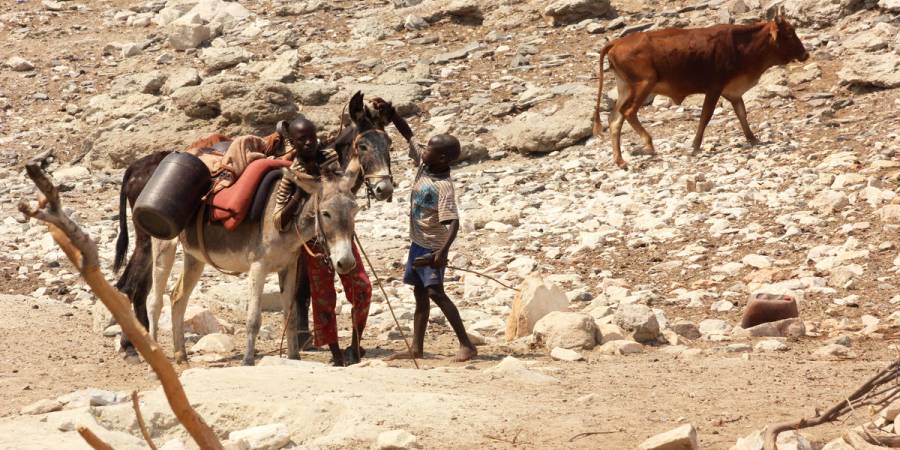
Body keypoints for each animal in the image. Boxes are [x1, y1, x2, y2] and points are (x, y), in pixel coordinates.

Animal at [596, 14, 812, 170]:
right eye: (789, 34)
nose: (805, 53)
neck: (742, 46)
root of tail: (616, 43)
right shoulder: (714, 87)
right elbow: (706, 116)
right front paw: (695, 146)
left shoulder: (733, 91)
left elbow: (741, 113)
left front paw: (753, 138)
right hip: (644, 84)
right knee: (628, 113)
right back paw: (648, 144)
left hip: (625, 88)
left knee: (615, 119)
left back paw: (620, 160)